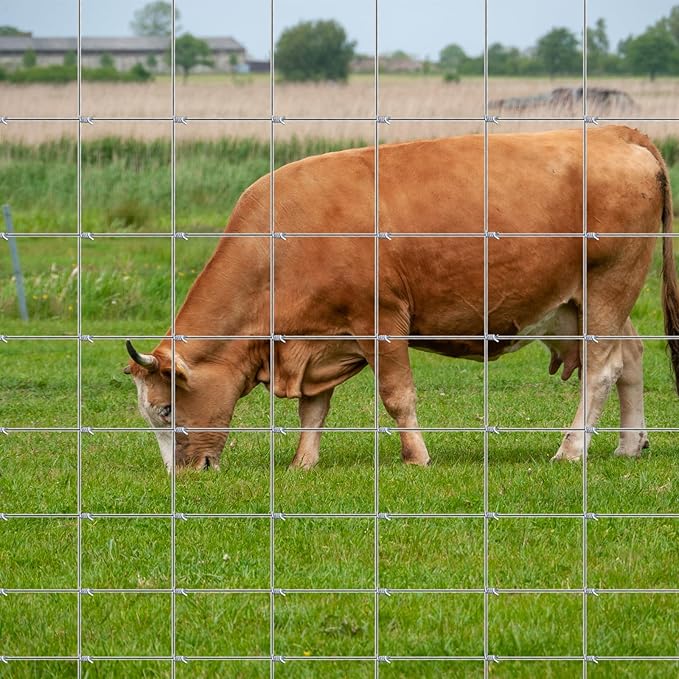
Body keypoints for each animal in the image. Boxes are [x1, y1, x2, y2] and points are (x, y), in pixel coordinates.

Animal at [124, 125, 679, 471]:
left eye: (167, 410)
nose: (184, 474)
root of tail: (615, 133)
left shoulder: (382, 319)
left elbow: (396, 395)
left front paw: (416, 456)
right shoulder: (319, 336)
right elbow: (313, 408)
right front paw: (304, 462)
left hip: (609, 287)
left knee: (603, 369)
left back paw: (571, 450)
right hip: (585, 303)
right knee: (631, 358)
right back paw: (629, 445)